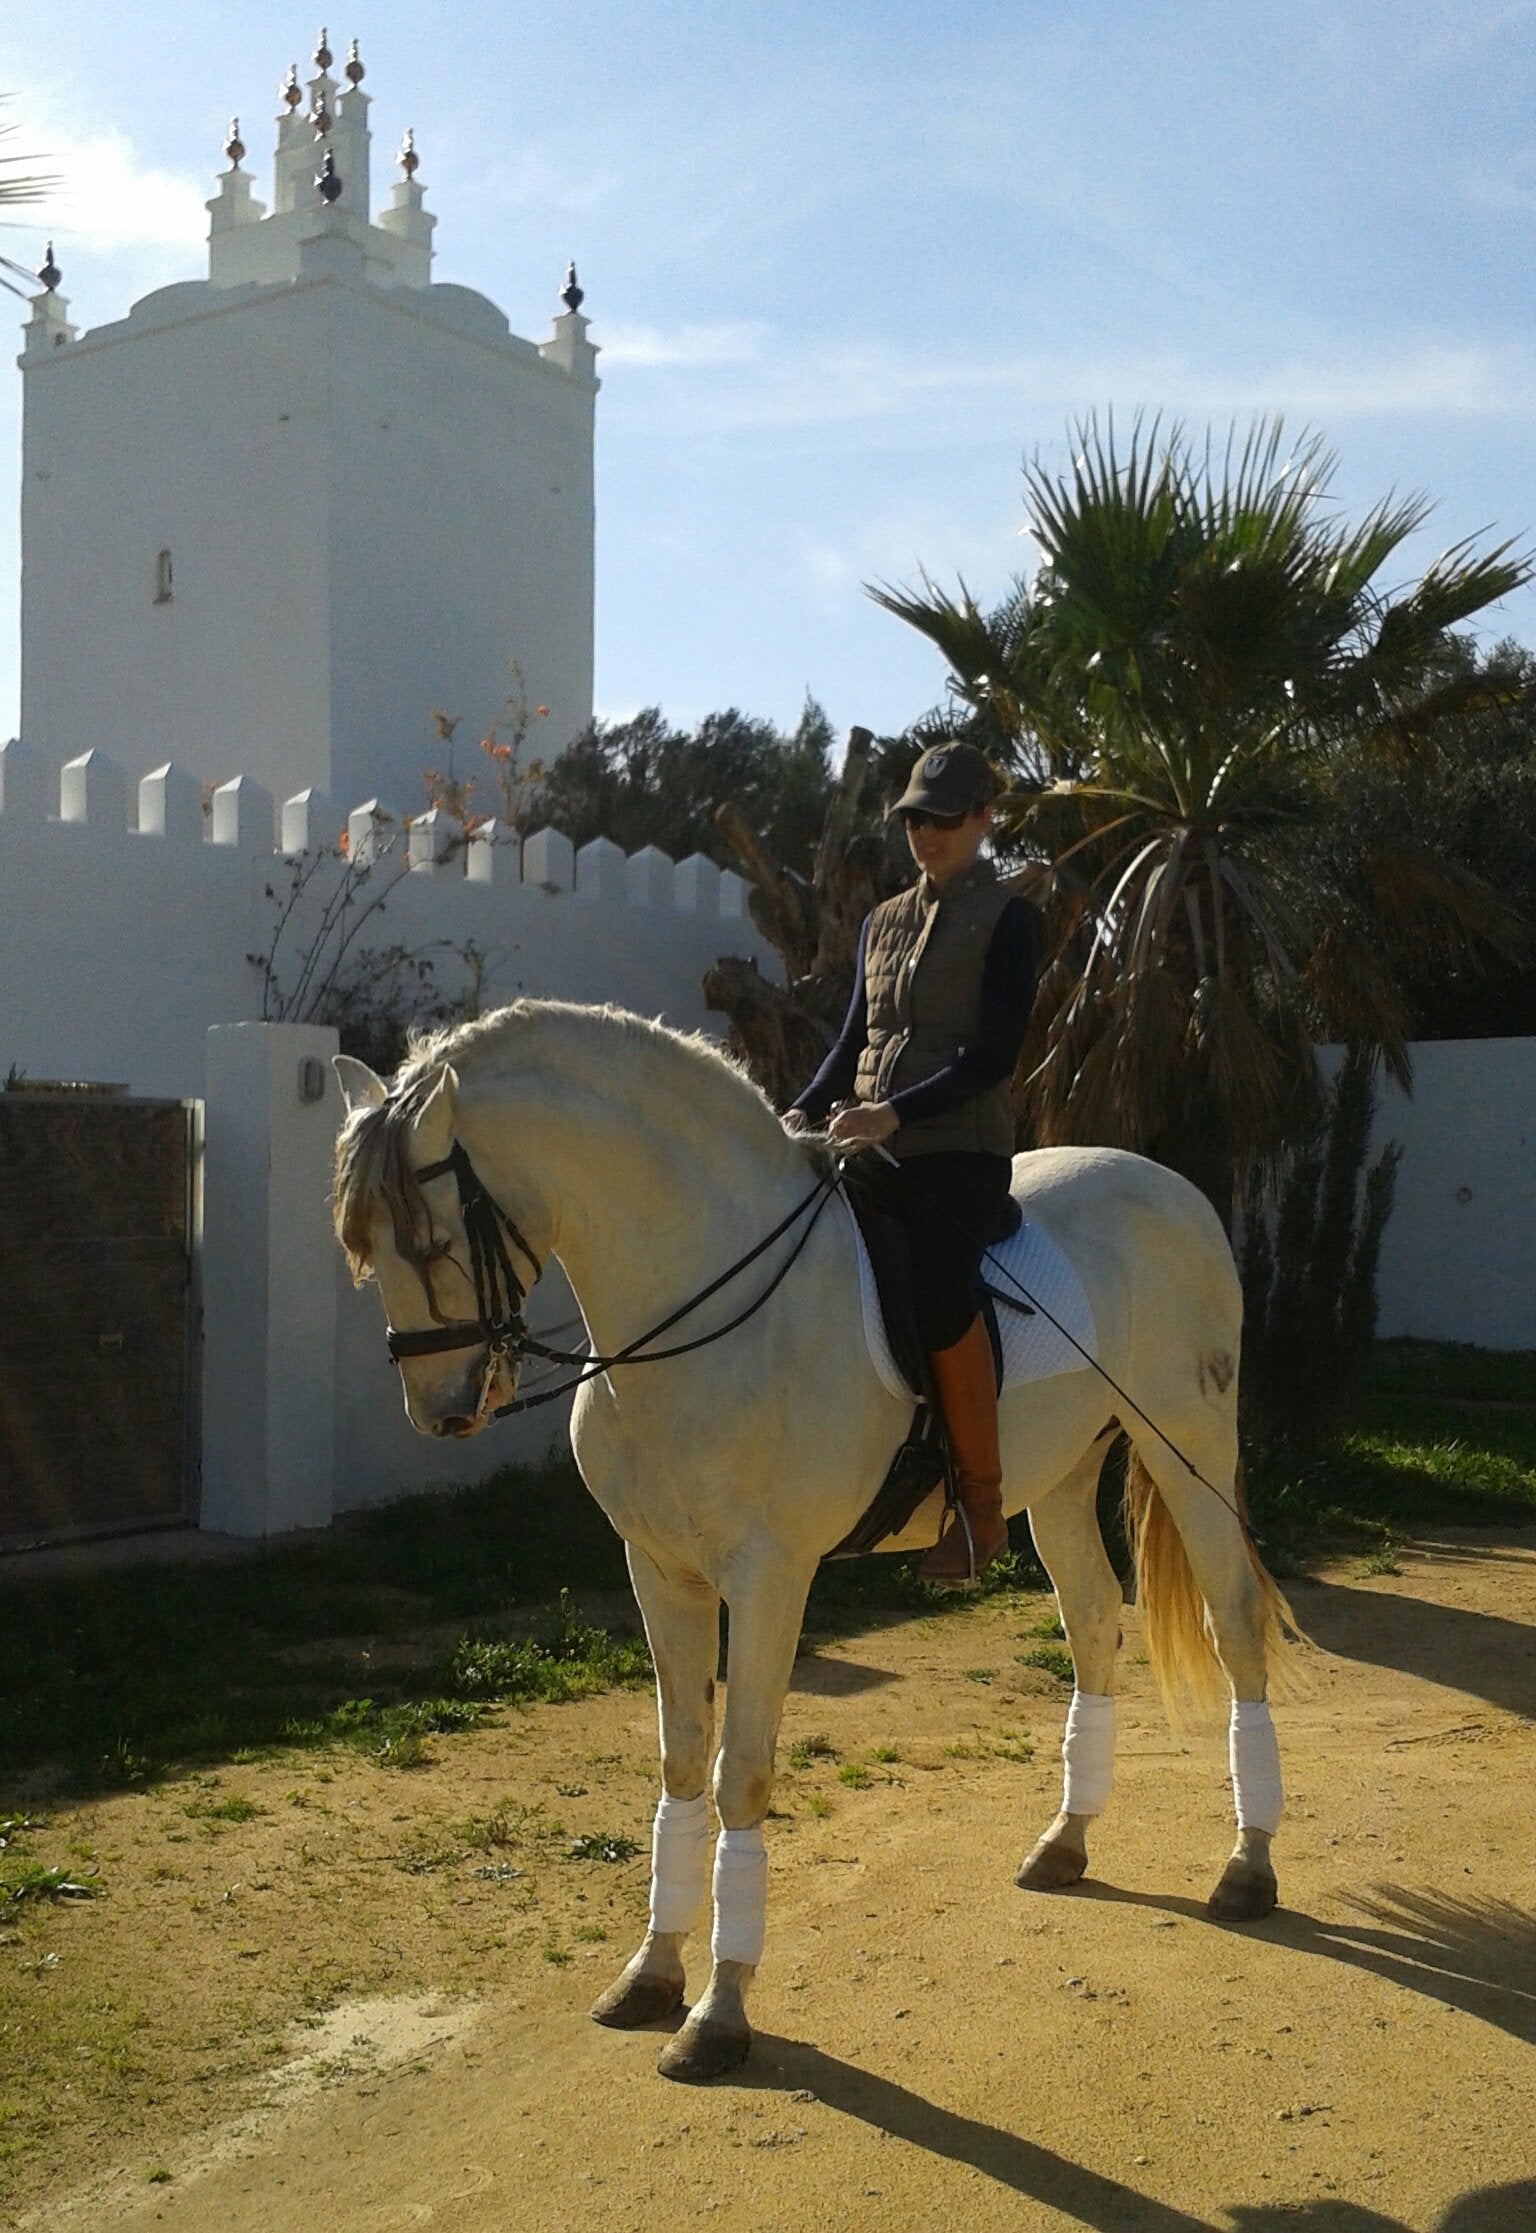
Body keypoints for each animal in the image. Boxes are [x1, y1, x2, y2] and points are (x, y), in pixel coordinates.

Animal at [332, 999, 1295, 2084]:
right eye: (365, 1245)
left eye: (431, 1239)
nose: (440, 1410)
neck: (703, 1302)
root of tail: (1173, 1187)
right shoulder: (657, 1570)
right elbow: (680, 1764)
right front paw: (651, 1974)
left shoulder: (768, 1577)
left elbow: (741, 1772)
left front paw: (718, 2014)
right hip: (1057, 1480)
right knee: (1093, 1625)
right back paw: (1065, 1842)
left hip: (1189, 1446)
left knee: (1235, 1624)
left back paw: (1247, 1867)